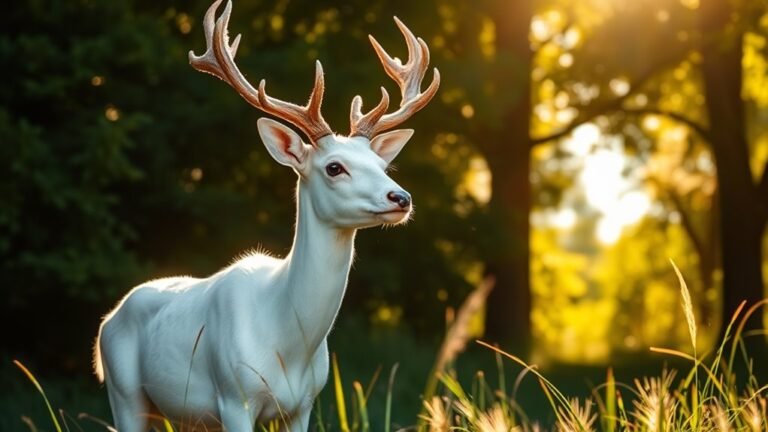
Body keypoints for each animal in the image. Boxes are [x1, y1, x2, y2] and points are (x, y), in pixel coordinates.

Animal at [91, 0, 438, 432]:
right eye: (334, 167)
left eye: (382, 164)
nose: (401, 197)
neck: (287, 340)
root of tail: (106, 322)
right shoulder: (233, 397)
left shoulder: (303, 405)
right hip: (124, 392)